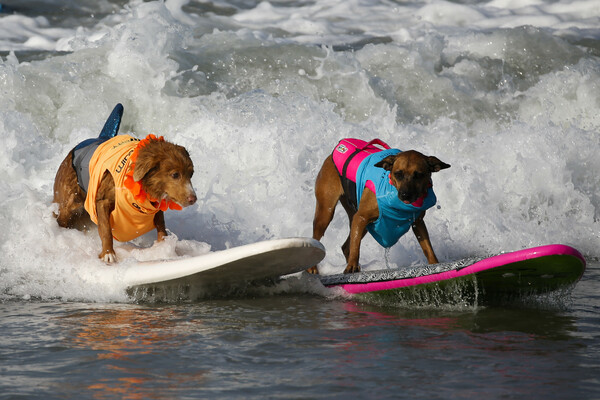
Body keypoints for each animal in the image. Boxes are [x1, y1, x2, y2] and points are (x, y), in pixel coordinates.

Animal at [52, 104, 196, 264]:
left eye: (191, 174)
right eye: (175, 175)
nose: (193, 199)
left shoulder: (157, 208)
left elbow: (161, 227)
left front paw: (164, 248)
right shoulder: (102, 201)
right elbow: (106, 229)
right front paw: (108, 253)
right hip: (69, 201)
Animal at [310, 138, 450, 276]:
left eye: (419, 175)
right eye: (398, 174)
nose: (405, 195)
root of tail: (333, 153)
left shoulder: (418, 222)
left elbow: (427, 247)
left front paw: (435, 264)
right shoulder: (361, 217)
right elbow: (356, 247)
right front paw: (352, 266)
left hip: (359, 220)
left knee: (346, 246)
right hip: (326, 212)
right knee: (319, 237)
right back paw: (313, 268)